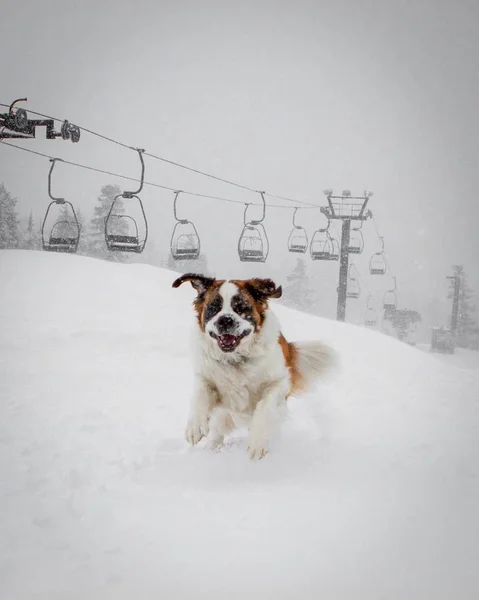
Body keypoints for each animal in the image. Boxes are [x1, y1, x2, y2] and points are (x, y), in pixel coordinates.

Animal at [173, 274, 338, 462]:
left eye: (241, 307)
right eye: (213, 308)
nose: (225, 320)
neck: (237, 359)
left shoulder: (279, 383)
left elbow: (264, 408)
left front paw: (258, 444)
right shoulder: (206, 376)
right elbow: (200, 394)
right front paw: (195, 427)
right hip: (222, 417)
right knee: (216, 433)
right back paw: (211, 450)